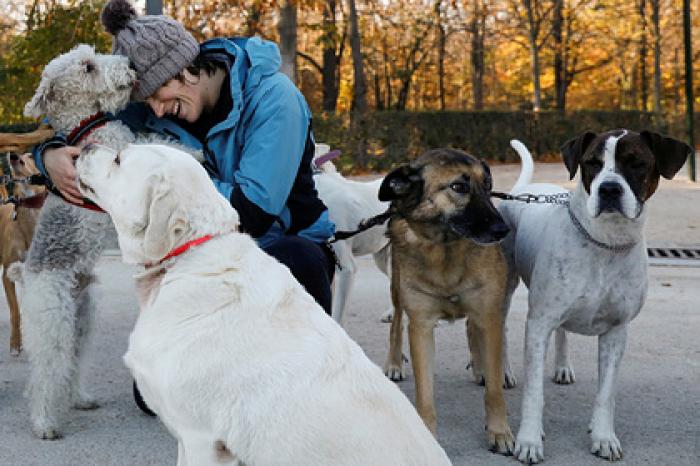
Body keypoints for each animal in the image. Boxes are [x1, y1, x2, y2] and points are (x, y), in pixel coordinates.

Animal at [378, 149, 516, 456]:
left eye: (488, 186)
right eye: (459, 187)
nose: (503, 230)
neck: (446, 248)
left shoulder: (489, 315)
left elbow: (494, 391)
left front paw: (499, 432)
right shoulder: (421, 327)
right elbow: (425, 396)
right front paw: (427, 439)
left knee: (472, 330)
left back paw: (480, 367)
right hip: (397, 290)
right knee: (395, 324)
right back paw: (394, 363)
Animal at [500, 130, 692, 462]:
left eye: (636, 162)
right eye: (592, 162)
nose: (609, 189)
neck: (606, 244)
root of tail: (524, 190)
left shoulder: (616, 332)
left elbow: (606, 394)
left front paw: (603, 437)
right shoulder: (539, 324)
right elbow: (534, 394)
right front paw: (529, 440)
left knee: (562, 332)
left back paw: (563, 367)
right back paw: (502, 372)